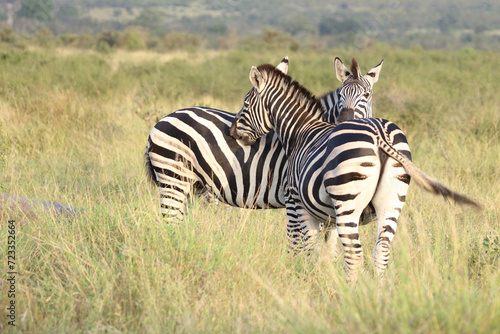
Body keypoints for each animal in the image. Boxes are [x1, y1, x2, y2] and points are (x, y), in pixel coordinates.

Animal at [145, 56, 382, 222]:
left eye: (367, 96)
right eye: (341, 95)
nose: (345, 121)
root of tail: (161, 121)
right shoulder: (297, 196)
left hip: (192, 185)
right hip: (173, 177)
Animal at [230, 63, 480, 282]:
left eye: (245, 103)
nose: (233, 133)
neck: (301, 131)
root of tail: (380, 134)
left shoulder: (295, 202)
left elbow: (305, 247)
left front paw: (304, 280)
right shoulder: (327, 216)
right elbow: (325, 252)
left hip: (347, 202)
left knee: (355, 254)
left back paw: (352, 295)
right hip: (392, 202)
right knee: (381, 251)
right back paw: (378, 295)